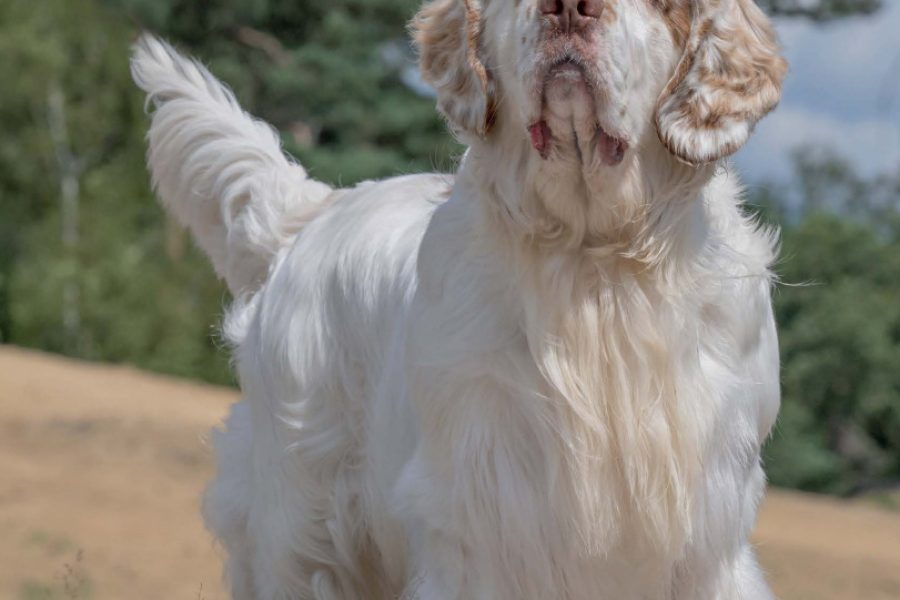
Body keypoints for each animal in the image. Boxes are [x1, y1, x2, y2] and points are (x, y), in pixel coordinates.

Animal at [132, 1, 788, 596]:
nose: (568, 7)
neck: (592, 261)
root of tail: (313, 210)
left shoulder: (707, 540)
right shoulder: (482, 525)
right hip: (300, 530)